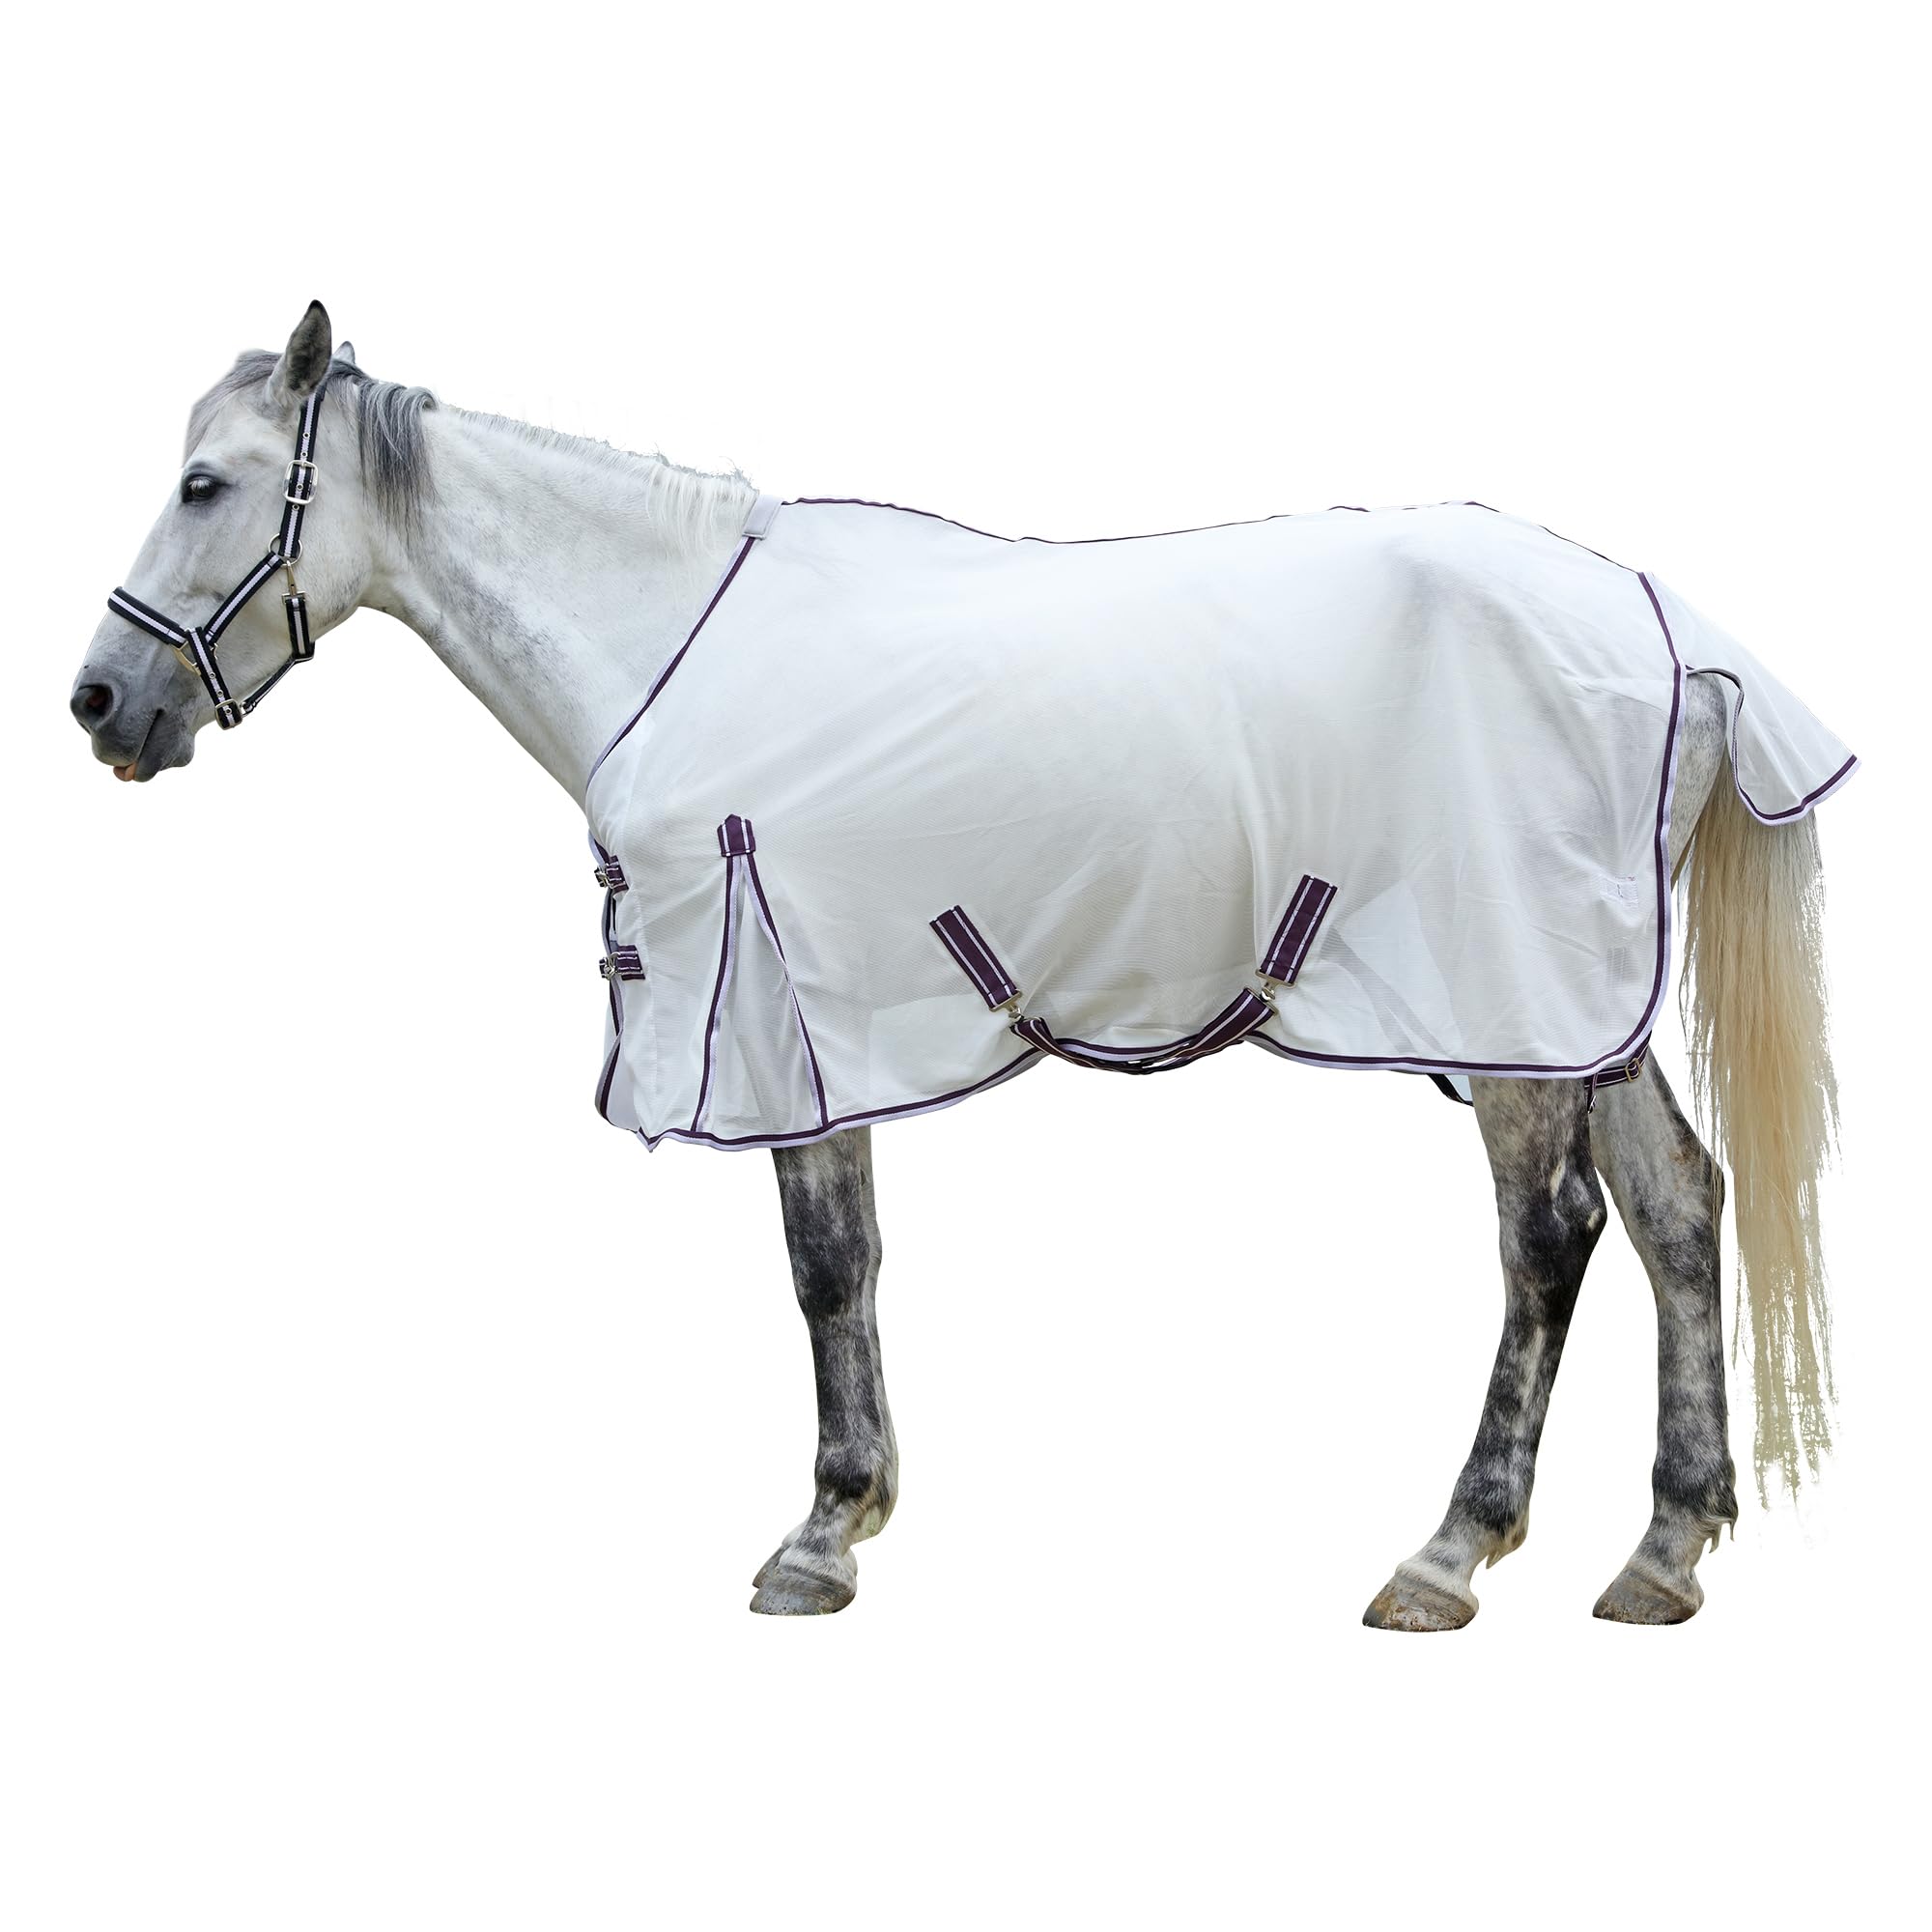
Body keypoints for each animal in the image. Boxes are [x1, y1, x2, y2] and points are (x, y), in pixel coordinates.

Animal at [71, 303, 1848, 1628]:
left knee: (1551, 1241)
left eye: (210, 484)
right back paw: (1663, 1552)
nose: (98, 703)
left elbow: (820, 1270)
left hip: (1511, 1006)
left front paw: (816, 1536)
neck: (667, 641)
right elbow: (852, 1262)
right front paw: (853, 1514)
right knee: (1679, 1211)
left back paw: (1451, 1553)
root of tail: (1666, 628)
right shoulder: (819, 1024)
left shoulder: (776, 1021)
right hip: (1585, 1008)